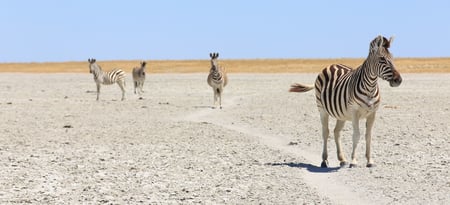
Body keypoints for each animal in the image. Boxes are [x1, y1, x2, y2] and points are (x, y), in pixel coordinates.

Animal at [290, 35, 402, 168]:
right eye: (382, 59)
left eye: (393, 58)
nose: (398, 80)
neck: (370, 87)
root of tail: (331, 65)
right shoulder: (354, 112)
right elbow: (356, 135)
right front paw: (353, 161)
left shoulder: (373, 113)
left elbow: (368, 136)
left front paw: (369, 161)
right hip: (322, 109)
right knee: (326, 132)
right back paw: (324, 160)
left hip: (341, 114)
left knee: (336, 132)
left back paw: (342, 159)